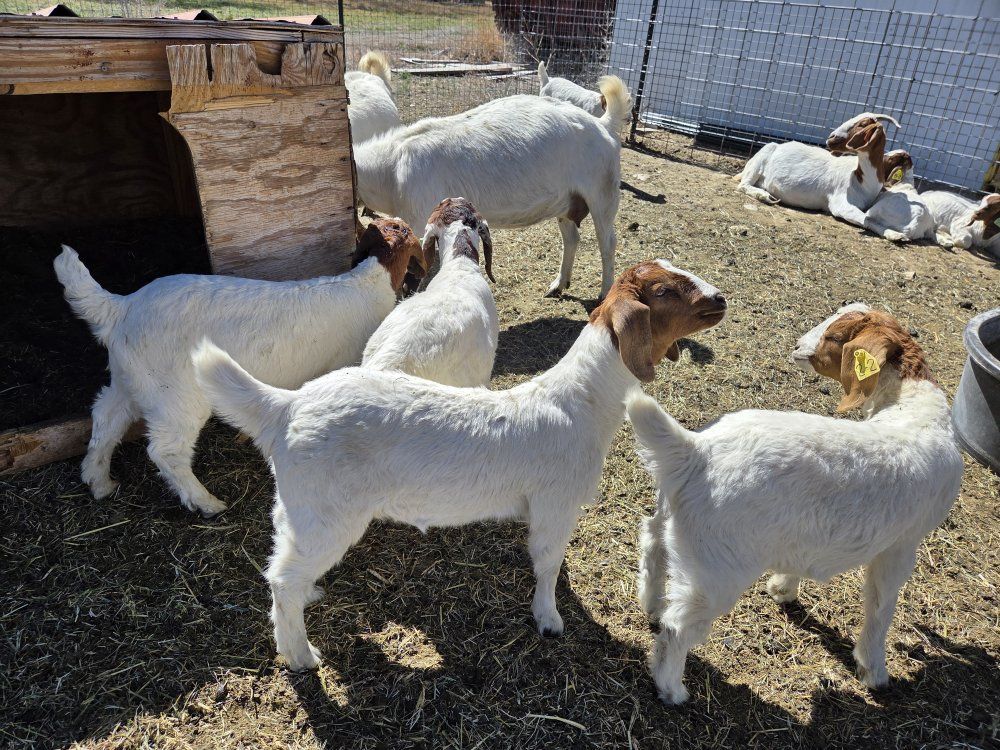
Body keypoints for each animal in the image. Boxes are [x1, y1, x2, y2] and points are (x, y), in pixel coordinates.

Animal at [54, 219, 426, 516]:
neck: (367, 282)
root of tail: (122, 307)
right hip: (174, 393)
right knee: (166, 450)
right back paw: (206, 503)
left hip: (130, 377)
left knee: (106, 417)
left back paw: (99, 481)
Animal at [192, 260, 727, 670]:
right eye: (663, 290)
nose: (720, 298)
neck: (580, 402)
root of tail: (286, 406)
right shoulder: (556, 504)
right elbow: (548, 562)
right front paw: (548, 619)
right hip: (328, 513)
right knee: (283, 579)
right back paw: (301, 656)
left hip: (299, 505)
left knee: (280, 563)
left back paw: (308, 600)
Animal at [353, 76, 632, 299]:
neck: (390, 170)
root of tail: (604, 125)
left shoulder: (422, 218)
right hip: (567, 201)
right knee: (572, 238)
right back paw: (558, 285)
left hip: (603, 192)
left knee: (608, 242)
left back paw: (604, 293)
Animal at [628, 304, 962, 704]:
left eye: (836, 336)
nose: (798, 346)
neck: (913, 414)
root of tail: (697, 451)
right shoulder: (901, 545)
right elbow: (881, 606)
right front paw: (873, 671)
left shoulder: (805, 532)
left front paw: (782, 589)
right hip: (717, 567)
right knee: (679, 626)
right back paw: (672, 689)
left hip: (674, 519)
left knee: (652, 546)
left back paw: (650, 605)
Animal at [737, 113, 900, 227]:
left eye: (863, 124)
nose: (831, 138)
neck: (862, 180)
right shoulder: (840, 204)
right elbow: (867, 219)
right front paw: (896, 235)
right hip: (761, 158)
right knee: (743, 185)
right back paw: (765, 196)